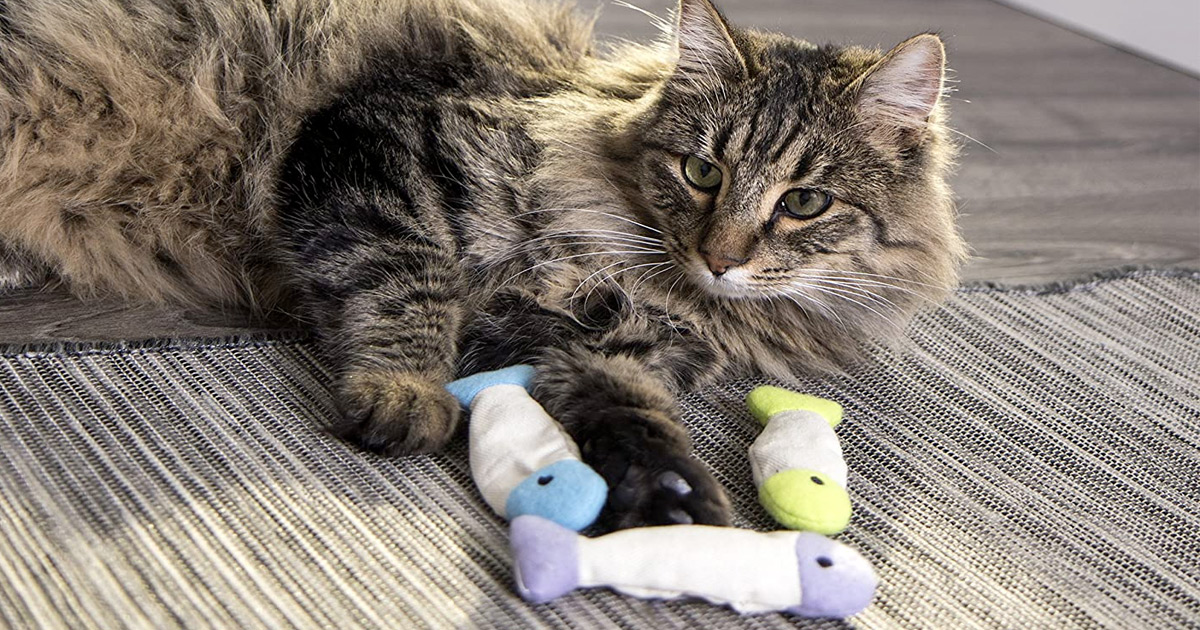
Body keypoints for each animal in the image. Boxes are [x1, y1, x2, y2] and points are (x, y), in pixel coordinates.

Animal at [0, 0, 964, 528]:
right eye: (702, 172)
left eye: (805, 203)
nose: (720, 258)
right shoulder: (371, 151)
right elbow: (411, 288)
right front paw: (403, 394)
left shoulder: (609, 350)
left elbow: (635, 415)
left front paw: (676, 502)